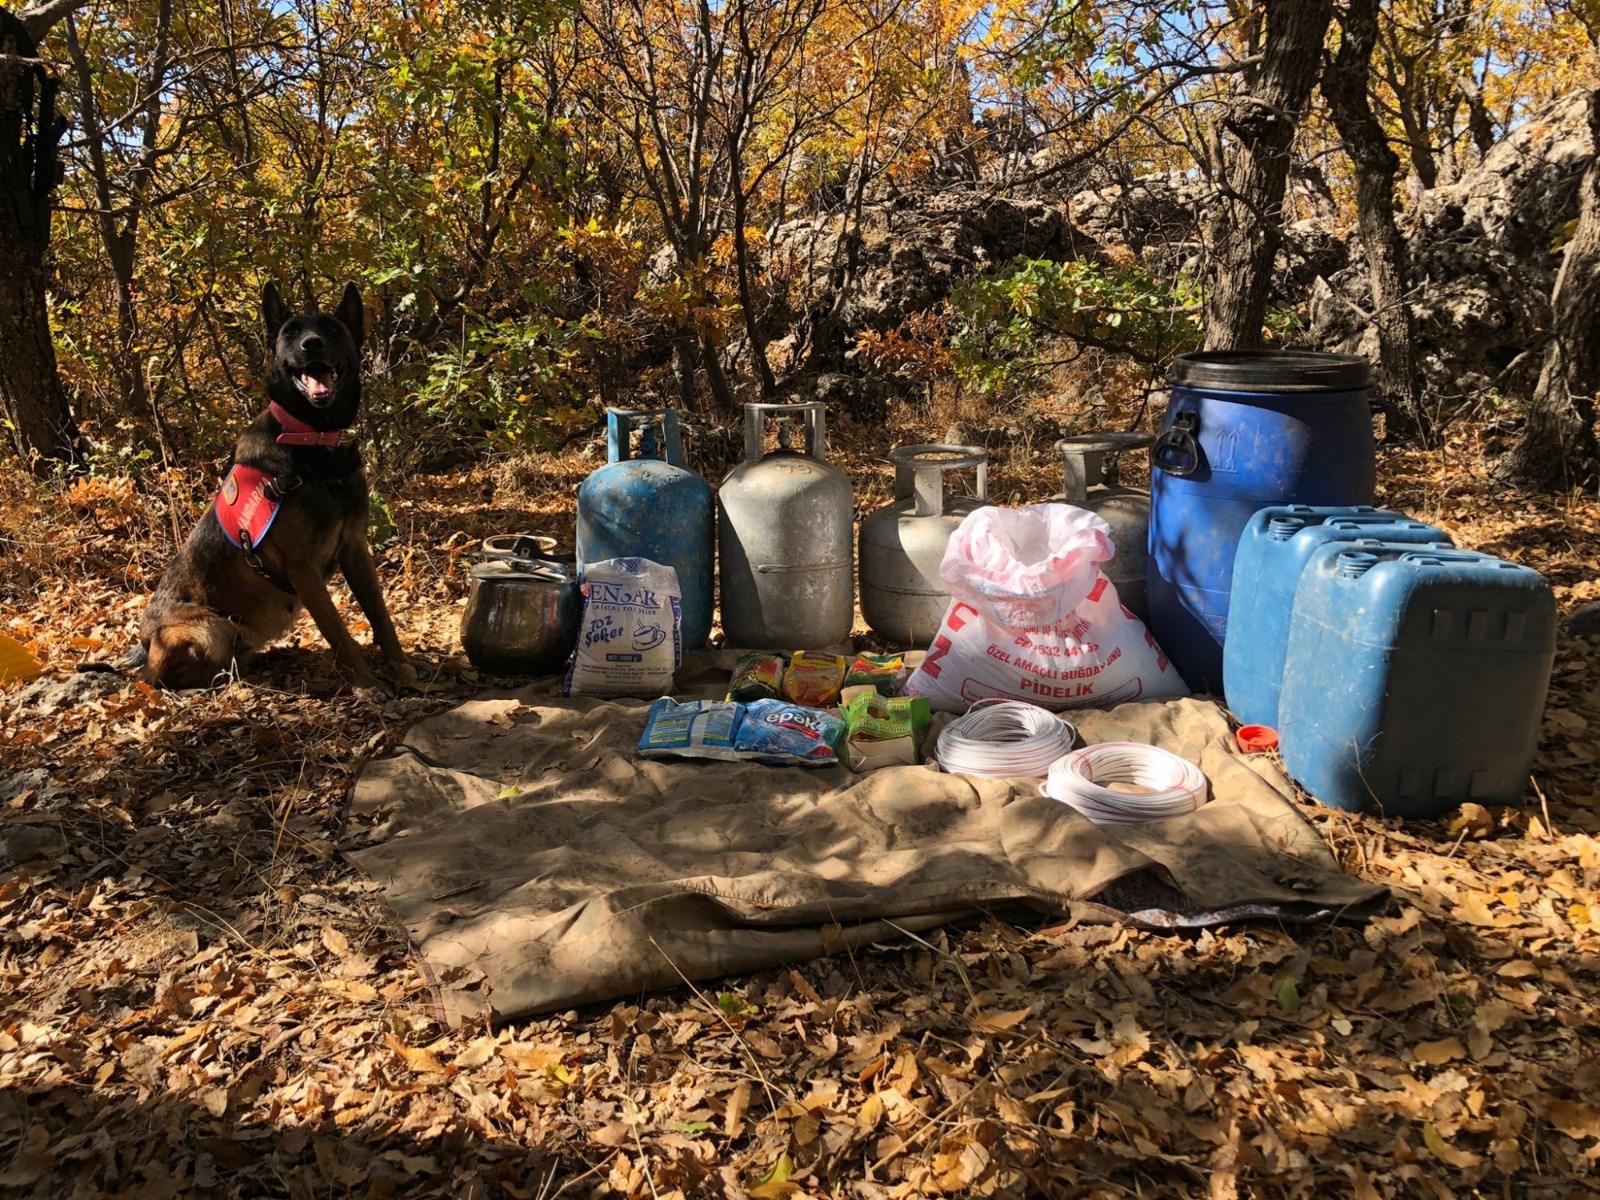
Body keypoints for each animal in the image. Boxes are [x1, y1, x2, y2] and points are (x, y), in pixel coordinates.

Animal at [131, 284, 416, 694]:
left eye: (332, 328)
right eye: (291, 332)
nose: (311, 345)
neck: (314, 441)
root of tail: (145, 647)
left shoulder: (354, 549)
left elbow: (381, 616)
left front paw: (403, 667)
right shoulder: (303, 569)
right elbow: (340, 633)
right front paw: (366, 684)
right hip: (209, 628)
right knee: (171, 678)